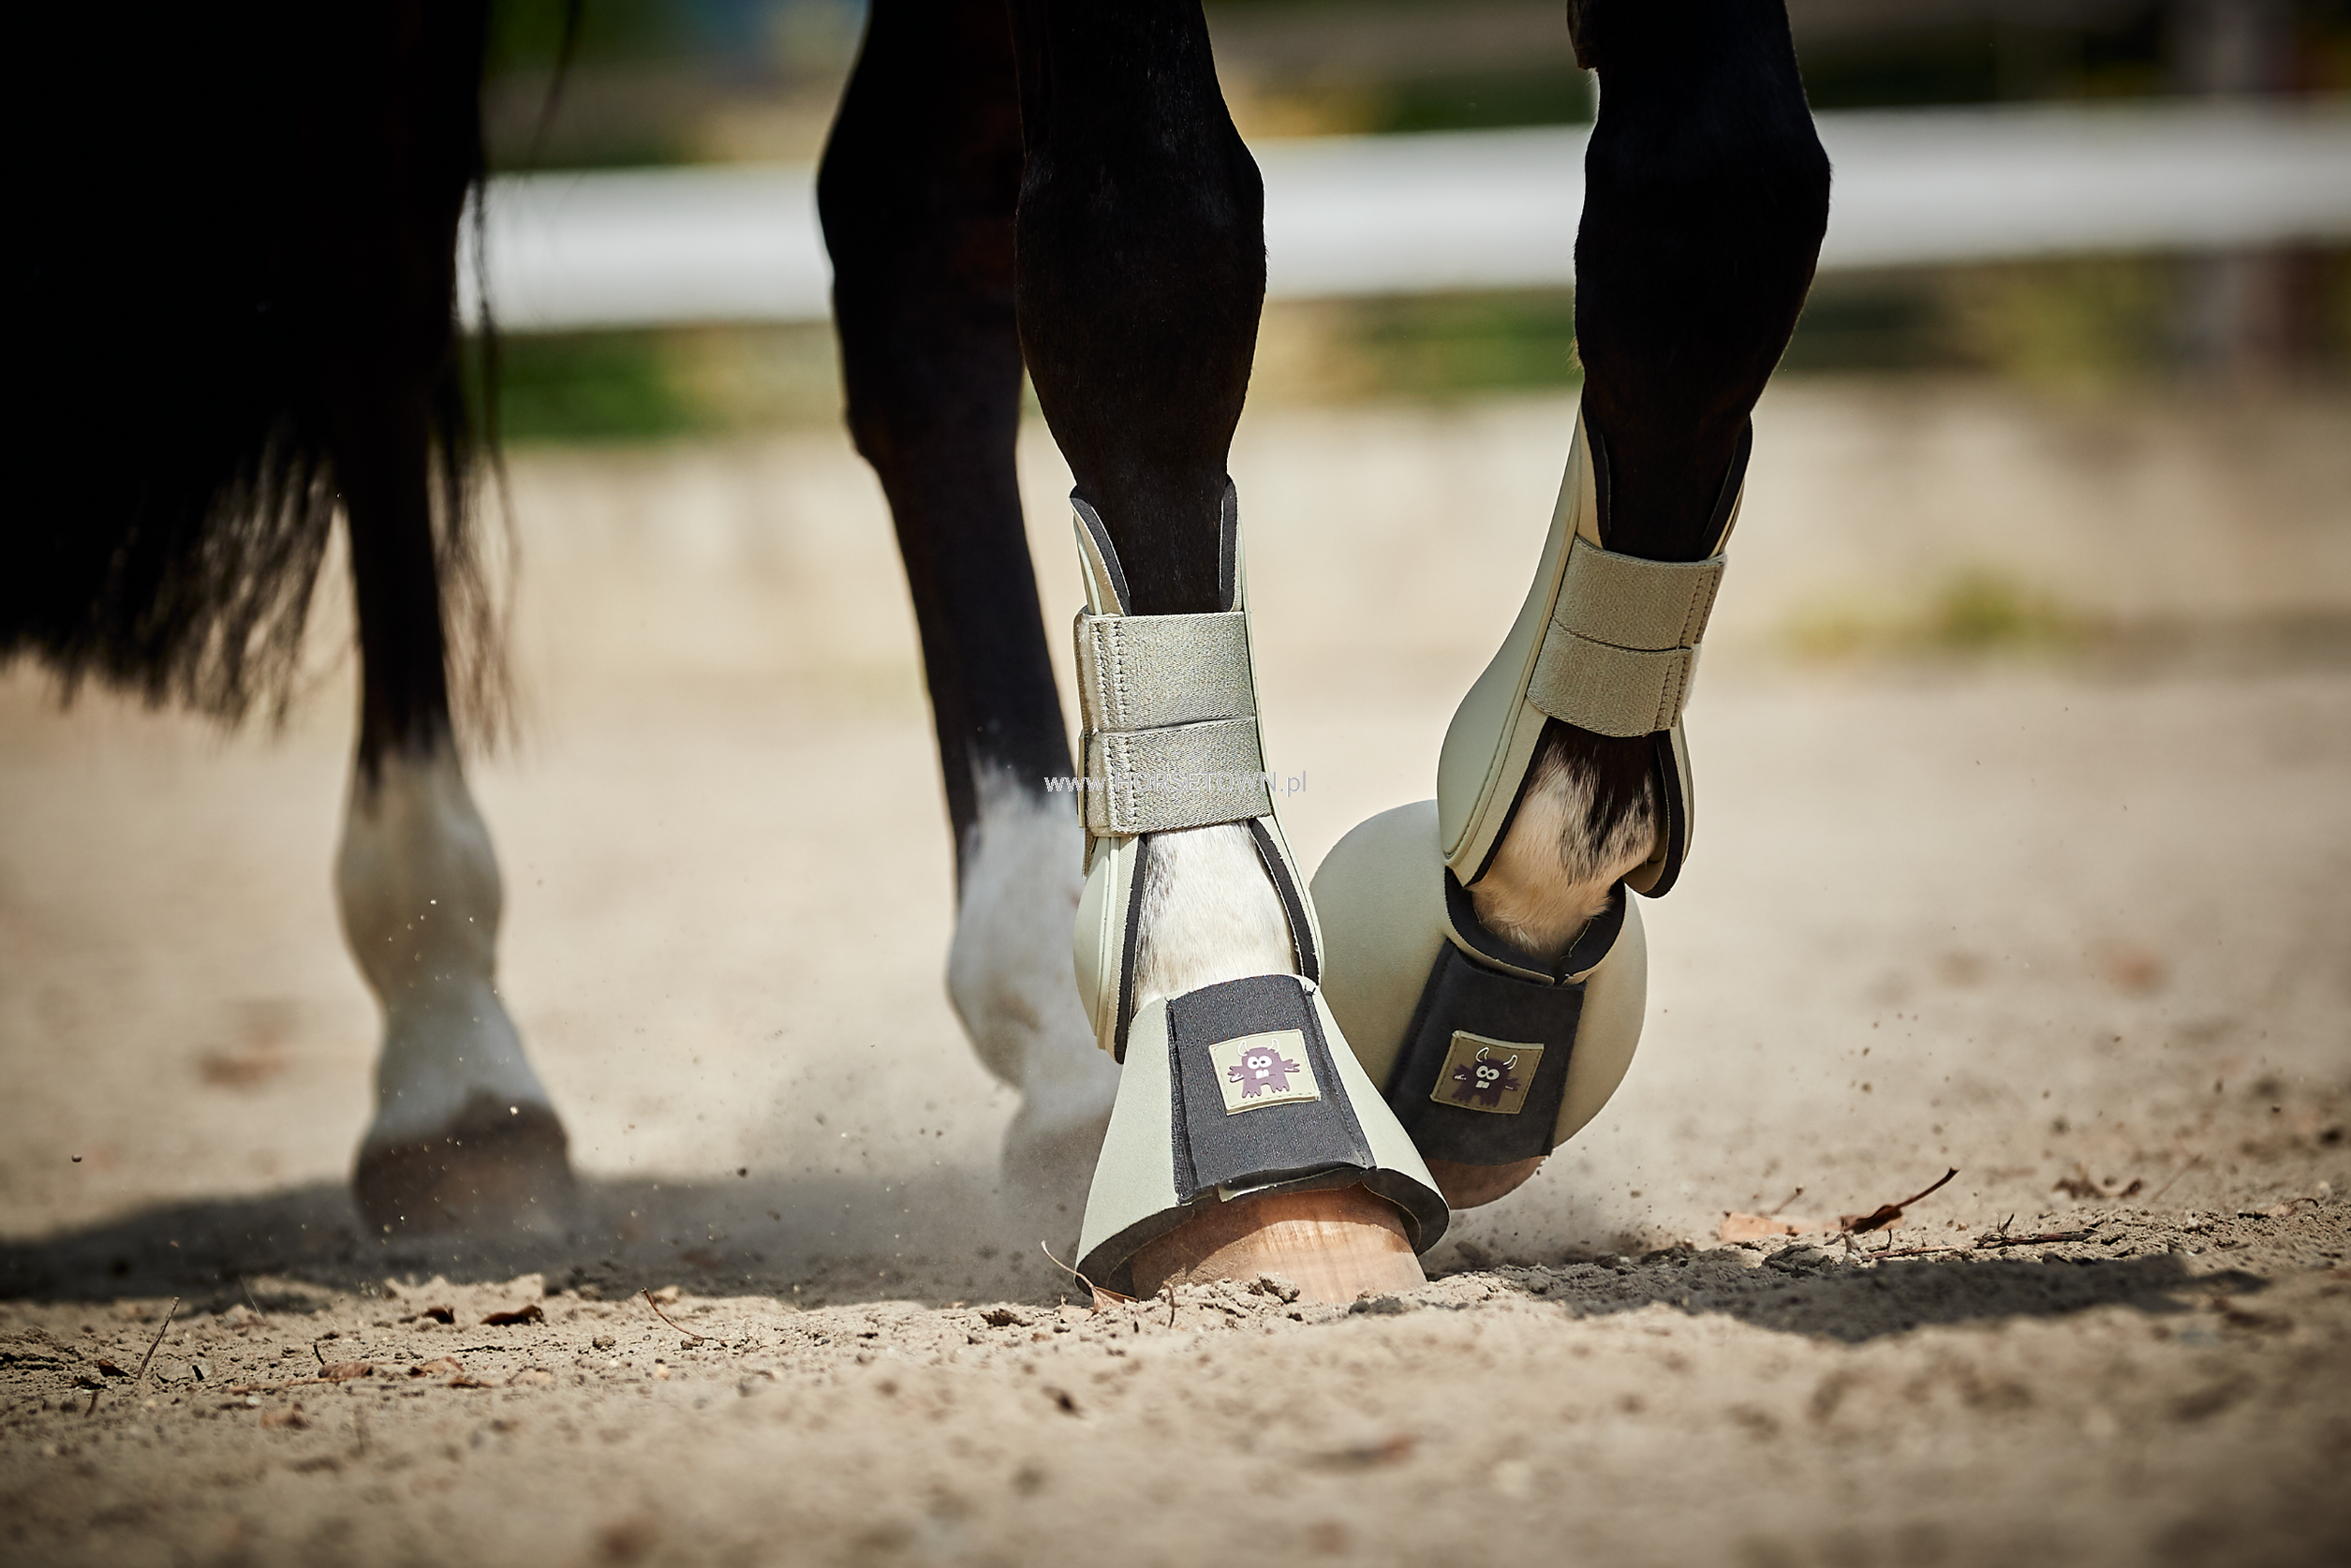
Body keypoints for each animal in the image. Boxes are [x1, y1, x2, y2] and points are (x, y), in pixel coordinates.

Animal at [9, 0, 1828, 1304]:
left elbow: (1718, 193)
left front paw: (1508, 941)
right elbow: (1149, 246)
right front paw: (1239, 1034)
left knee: (899, 238)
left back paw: (1050, 1023)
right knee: (370, 254)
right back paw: (449, 1059)